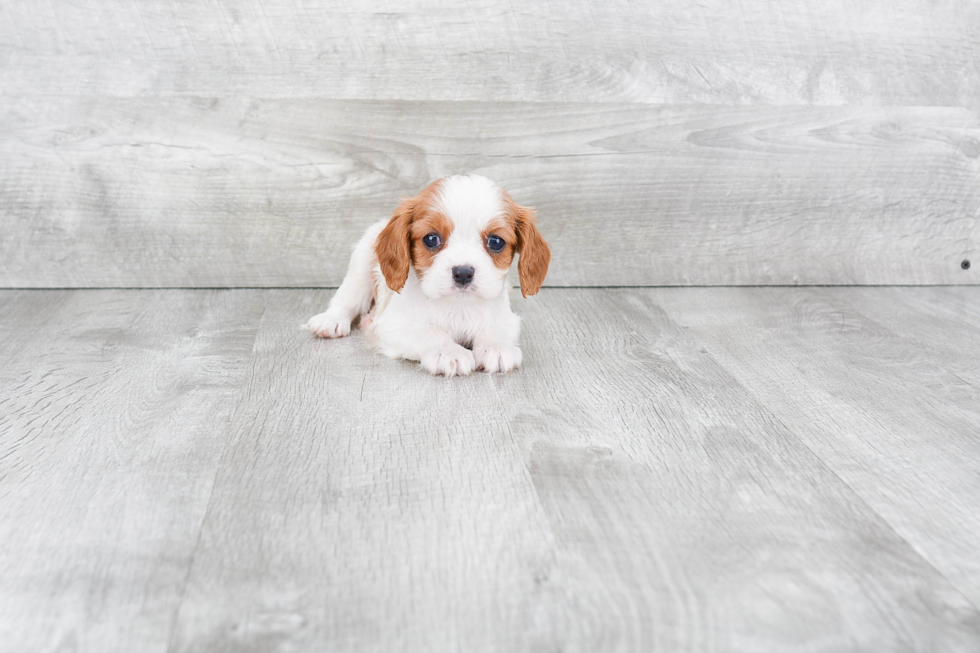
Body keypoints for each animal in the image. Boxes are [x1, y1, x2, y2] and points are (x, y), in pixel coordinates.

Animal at [306, 174, 548, 376]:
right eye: (431, 239)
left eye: (496, 242)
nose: (463, 272)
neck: (458, 306)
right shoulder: (396, 325)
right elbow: (431, 332)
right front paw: (448, 352)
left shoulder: (507, 319)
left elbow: (494, 329)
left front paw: (496, 347)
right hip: (361, 265)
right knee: (347, 298)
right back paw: (331, 320)